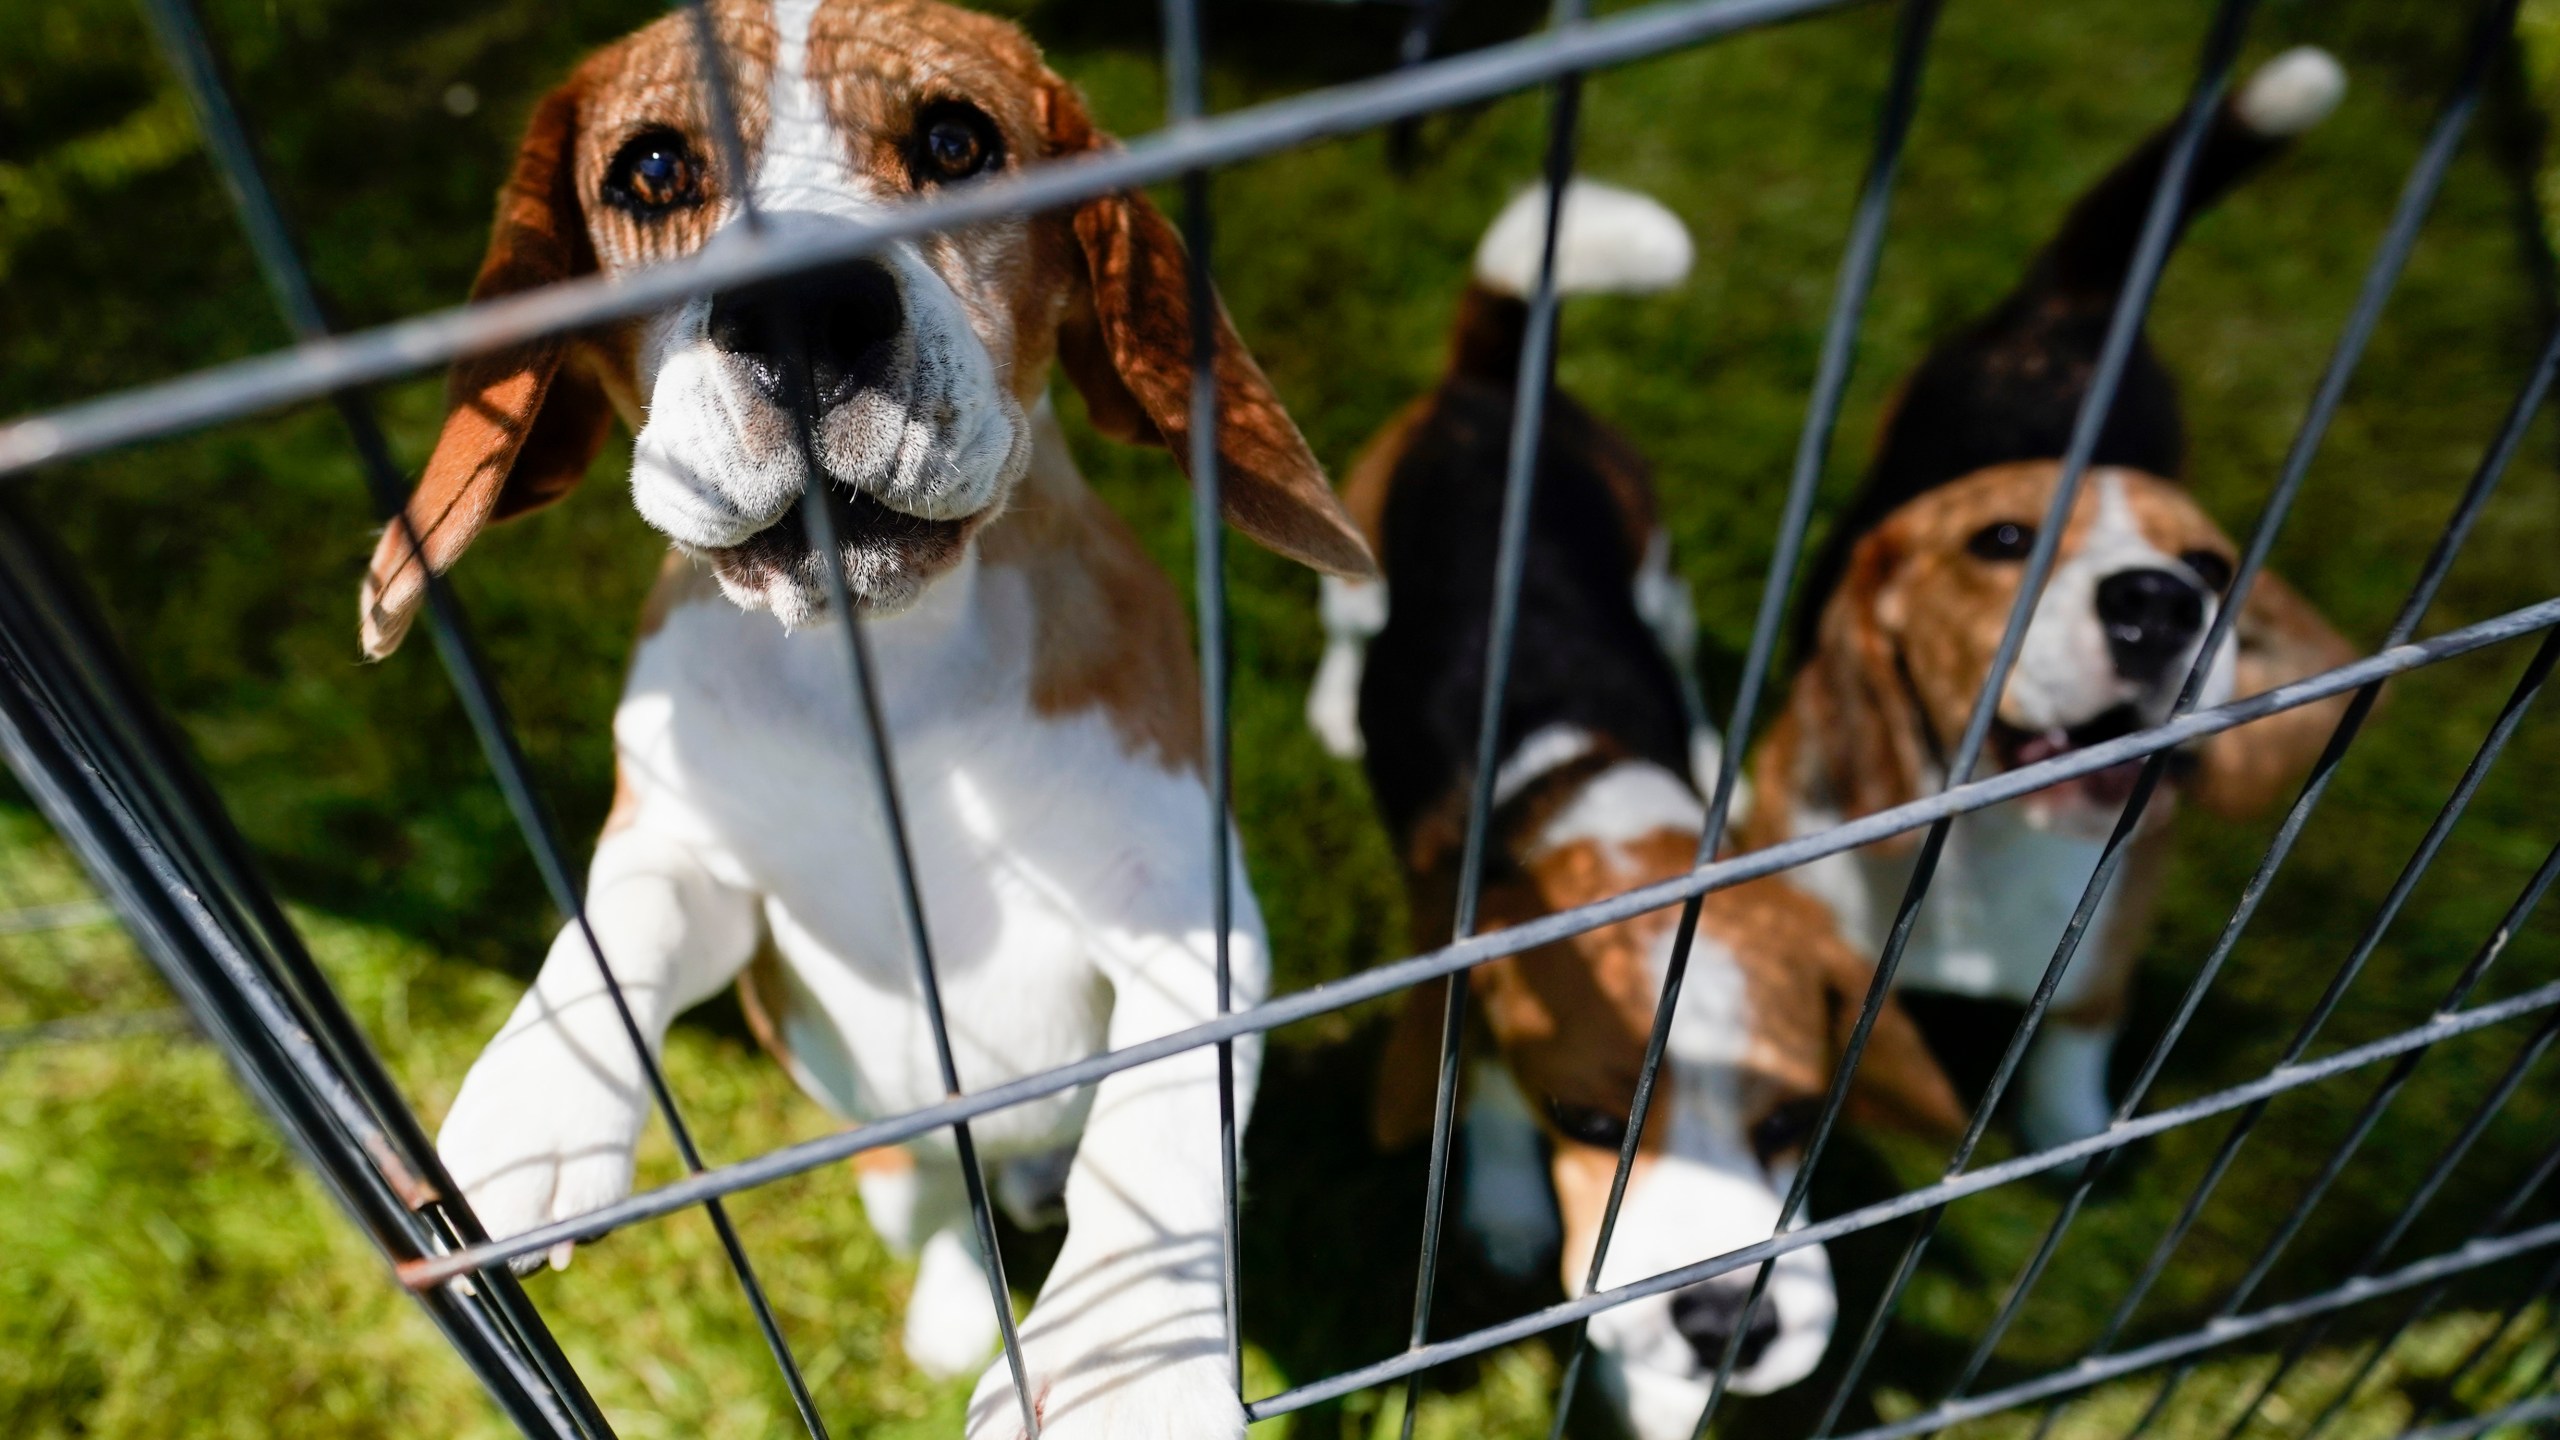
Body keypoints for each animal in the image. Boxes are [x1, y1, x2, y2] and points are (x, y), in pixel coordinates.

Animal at [360, 5, 1382, 1424]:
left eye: (956, 142)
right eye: (653, 171)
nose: (802, 309)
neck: (883, 684)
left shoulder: (1185, 905)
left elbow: (1165, 1113)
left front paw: (1129, 1364)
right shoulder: (697, 856)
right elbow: (625, 917)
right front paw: (541, 1096)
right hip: (893, 1171)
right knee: (947, 1212)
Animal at [1320, 181, 1955, 1434]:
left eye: (1788, 1121)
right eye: (1588, 1124)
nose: (1723, 1329)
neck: (1597, 795)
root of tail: (1490, 390)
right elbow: (1484, 1091)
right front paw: (1507, 1206)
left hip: (1652, 552)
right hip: (1353, 554)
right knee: (1346, 627)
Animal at [1740, 50, 2355, 1153]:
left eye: (2210, 567)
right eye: (2003, 541)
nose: (2159, 604)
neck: (1984, 844)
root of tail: (2083, 303)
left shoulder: (2108, 931)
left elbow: (2078, 1031)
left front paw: (2073, 1134)